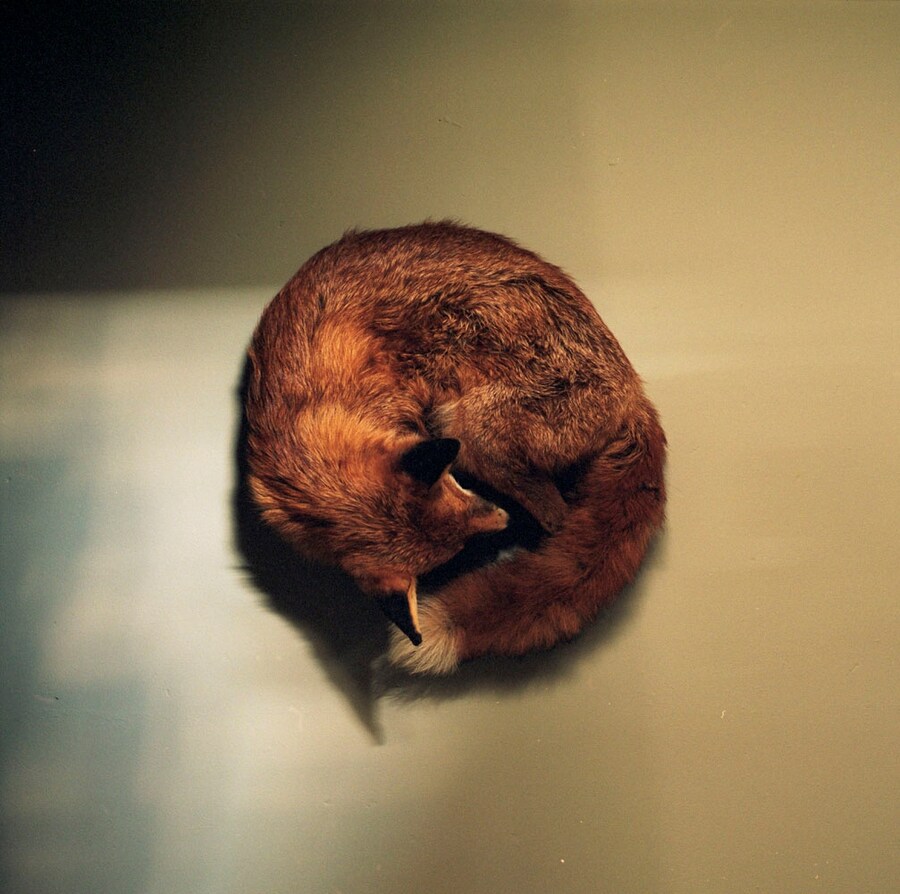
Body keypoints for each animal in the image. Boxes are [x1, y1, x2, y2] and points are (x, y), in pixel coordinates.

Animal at [243, 222, 666, 674]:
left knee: (558, 516)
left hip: (466, 430)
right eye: (458, 543)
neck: (315, 402)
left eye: (454, 486)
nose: (504, 521)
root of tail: (635, 396)